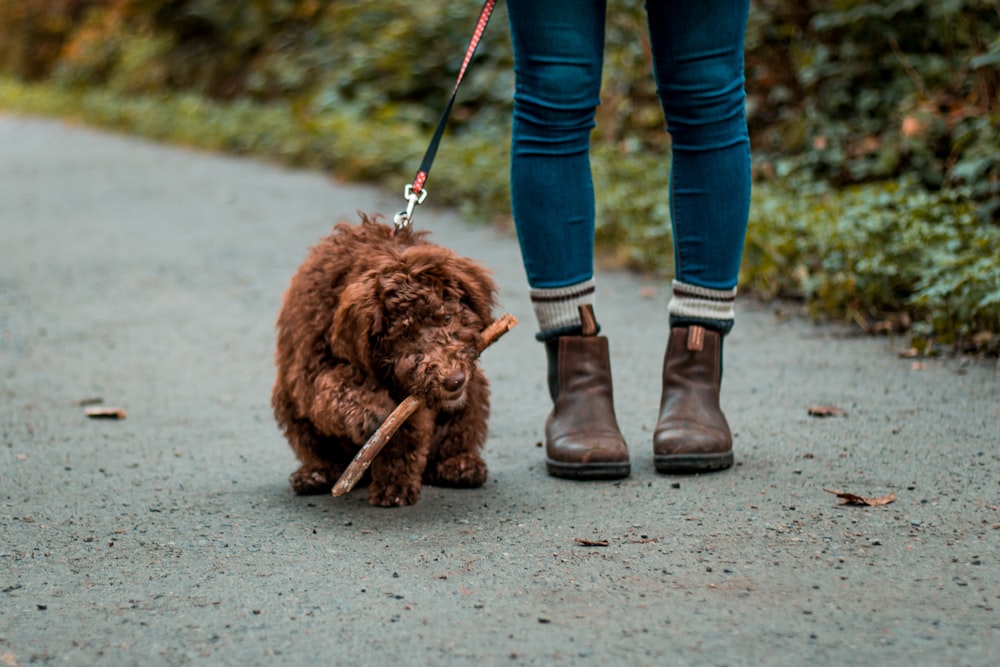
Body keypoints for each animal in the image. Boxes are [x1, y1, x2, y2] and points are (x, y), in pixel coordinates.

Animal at [272, 214, 498, 506]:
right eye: (405, 336)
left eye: (447, 318)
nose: (454, 381)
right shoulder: (309, 360)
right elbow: (332, 387)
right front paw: (365, 412)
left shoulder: (412, 396)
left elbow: (404, 433)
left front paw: (394, 484)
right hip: (286, 400)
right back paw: (316, 474)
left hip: (475, 390)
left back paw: (460, 467)